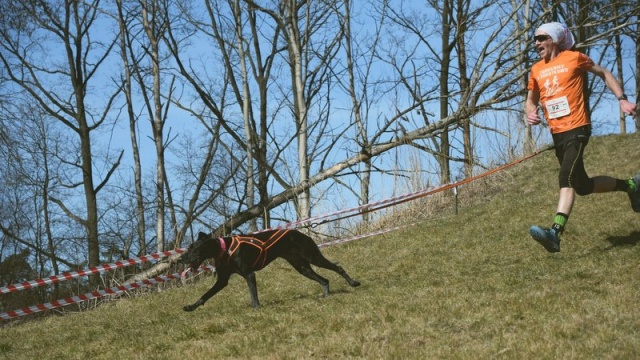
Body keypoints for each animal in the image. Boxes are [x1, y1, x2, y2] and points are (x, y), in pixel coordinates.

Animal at [179, 229, 360, 310]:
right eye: (188, 248)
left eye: (193, 249)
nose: (180, 259)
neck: (224, 249)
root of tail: (302, 233)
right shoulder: (222, 280)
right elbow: (205, 295)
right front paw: (191, 307)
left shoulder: (249, 274)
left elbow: (253, 294)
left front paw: (256, 309)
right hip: (301, 267)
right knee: (324, 280)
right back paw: (326, 295)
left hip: (312, 256)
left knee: (337, 267)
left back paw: (353, 282)